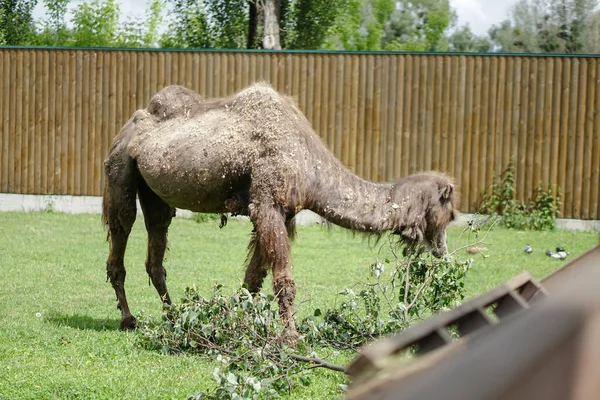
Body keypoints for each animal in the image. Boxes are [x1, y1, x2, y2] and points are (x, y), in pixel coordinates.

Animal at [103, 83, 460, 340]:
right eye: (450, 212)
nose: (443, 250)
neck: (310, 164)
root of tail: (129, 124)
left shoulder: (282, 212)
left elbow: (253, 279)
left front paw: (235, 324)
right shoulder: (267, 204)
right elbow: (283, 281)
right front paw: (291, 338)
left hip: (155, 192)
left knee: (157, 244)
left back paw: (174, 317)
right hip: (120, 169)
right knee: (121, 231)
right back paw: (128, 319)